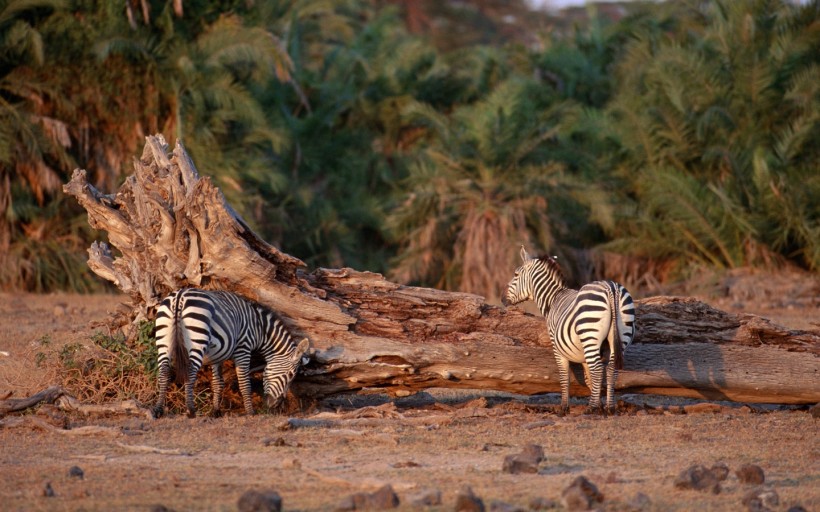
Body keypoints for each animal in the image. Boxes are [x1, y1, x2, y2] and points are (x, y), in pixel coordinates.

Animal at [152, 286, 310, 418]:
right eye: (291, 375)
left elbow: (218, 383)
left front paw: (215, 411)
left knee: (164, 371)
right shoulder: (243, 348)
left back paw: (158, 410)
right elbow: (244, 382)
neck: (259, 329)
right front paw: (250, 412)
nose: (276, 405)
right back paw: (190, 410)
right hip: (197, 338)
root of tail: (180, 296)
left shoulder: (217, 355)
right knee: (190, 372)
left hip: (164, 338)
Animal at [502, 248, 636, 416]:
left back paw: (591, 408)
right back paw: (610, 407)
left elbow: (564, 375)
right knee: (611, 369)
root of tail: (612, 288)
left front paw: (564, 407)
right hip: (619, 336)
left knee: (598, 368)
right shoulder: (586, 353)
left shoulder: (557, 347)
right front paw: (599, 404)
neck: (553, 299)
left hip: (590, 334)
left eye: (515, 274)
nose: (502, 299)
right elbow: (589, 378)